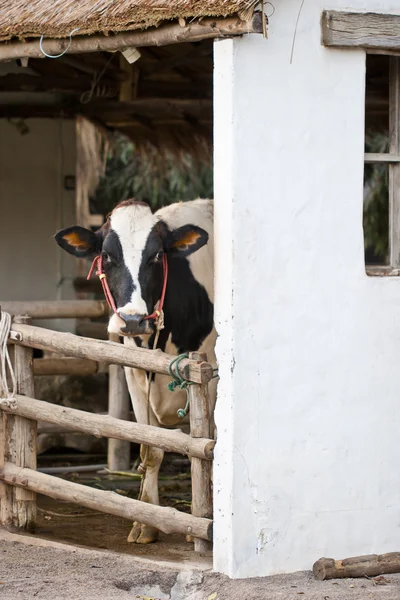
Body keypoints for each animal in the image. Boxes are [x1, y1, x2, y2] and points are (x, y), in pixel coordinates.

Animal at [55, 200, 217, 544]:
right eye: (107, 255)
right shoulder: (134, 371)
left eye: (156, 255)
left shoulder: (210, 376)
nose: (132, 320)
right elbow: (149, 448)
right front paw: (146, 522)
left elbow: (206, 446)